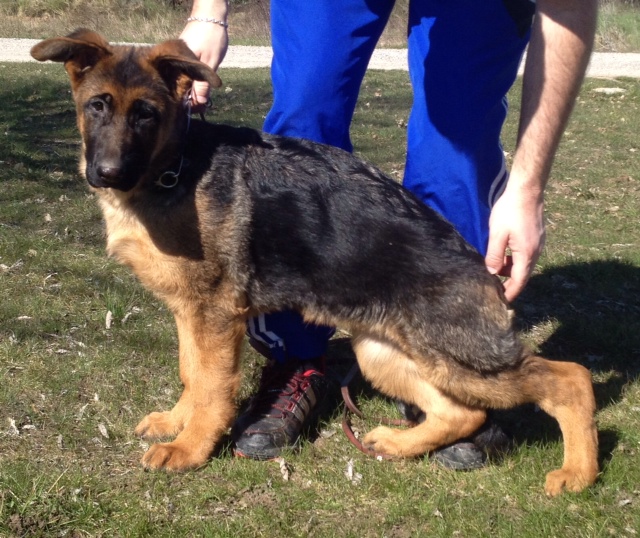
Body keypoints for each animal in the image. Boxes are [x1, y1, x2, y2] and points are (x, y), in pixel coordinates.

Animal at [30, 29, 600, 494]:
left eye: (146, 113)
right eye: (97, 106)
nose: (106, 173)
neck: (175, 167)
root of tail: (480, 266)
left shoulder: (215, 316)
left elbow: (211, 387)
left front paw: (189, 449)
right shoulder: (189, 314)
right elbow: (191, 373)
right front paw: (176, 422)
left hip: (462, 357)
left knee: (568, 379)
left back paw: (578, 472)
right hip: (385, 353)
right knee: (463, 413)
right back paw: (399, 443)